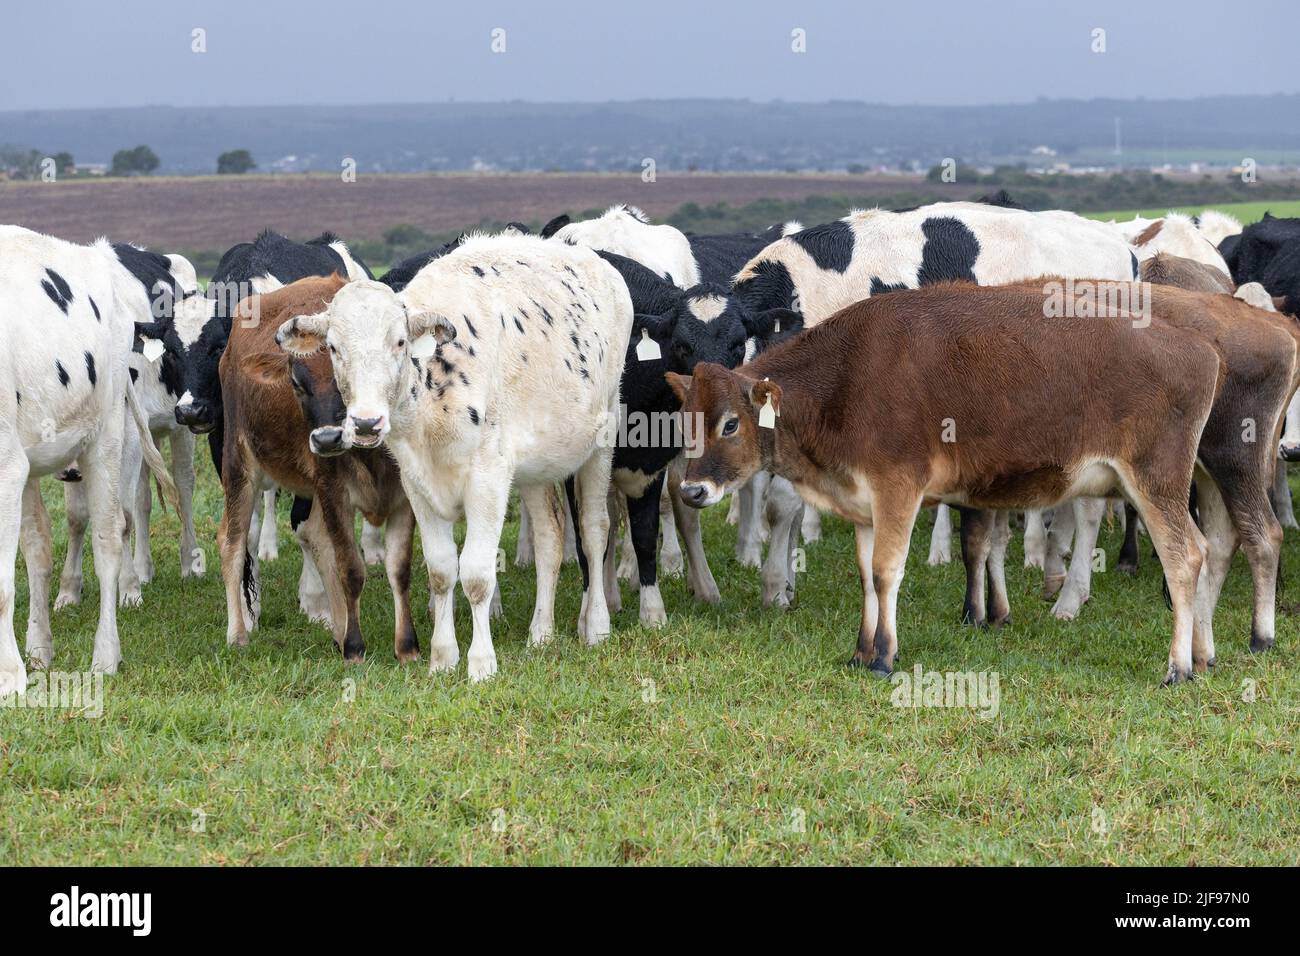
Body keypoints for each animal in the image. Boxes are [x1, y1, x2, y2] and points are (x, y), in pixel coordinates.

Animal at [0, 226, 178, 697]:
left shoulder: (5, 469)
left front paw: (8, 678)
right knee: (39, 547)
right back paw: (40, 647)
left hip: (108, 436)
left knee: (110, 538)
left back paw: (106, 655)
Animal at [214, 273, 416, 660]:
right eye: (296, 382)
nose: (326, 439)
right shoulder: (332, 488)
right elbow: (349, 567)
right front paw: (355, 647)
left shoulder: (405, 495)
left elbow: (398, 569)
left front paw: (406, 648)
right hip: (238, 462)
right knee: (232, 541)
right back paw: (237, 634)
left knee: (316, 539)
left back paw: (336, 627)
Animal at [278, 234, 634, 681]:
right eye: (333, 347)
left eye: (399, 342)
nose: (366, 422)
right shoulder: (416, 485)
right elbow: (442, 570)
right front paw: (443, 656)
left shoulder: (488, 480)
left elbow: (477, 574)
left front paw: (481, 663)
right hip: (535, 468)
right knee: (550, 536)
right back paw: (541, 632)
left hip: (602, 441)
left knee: (593, 529)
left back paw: (596, 625)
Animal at [670, 280, 1227, 686]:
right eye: (685, 423)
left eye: (731, 424)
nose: (692, 491)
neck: (844, 380)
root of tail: (1199, 346)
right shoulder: (865, 504)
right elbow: (866, 575)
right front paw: (861, 650)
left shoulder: (898, 488)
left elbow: (886, 572)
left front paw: (884, 656)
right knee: (1202, 550)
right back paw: (1203, 655)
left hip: (1156, 482)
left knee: (1185, 557)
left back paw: (1179, 666)